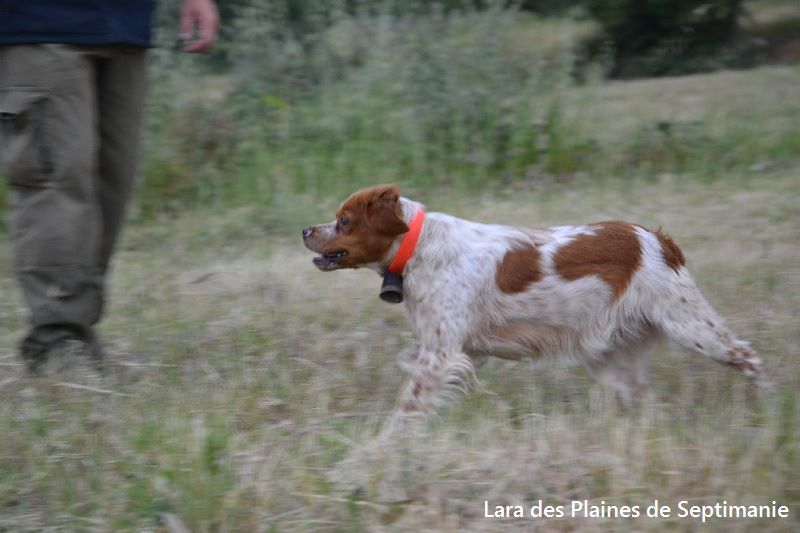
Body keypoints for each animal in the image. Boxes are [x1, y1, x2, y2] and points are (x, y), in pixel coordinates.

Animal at [302, 185, 764, 430]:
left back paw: (764, 409)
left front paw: (380, 449)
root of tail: (655, 238)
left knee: (749, 357)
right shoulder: (459, 351)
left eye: (344, 221)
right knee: (645, 398)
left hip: (691, 325)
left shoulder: (441, 354)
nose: (306, 230)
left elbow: (406, 409)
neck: (418, 246)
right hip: (613, 358)